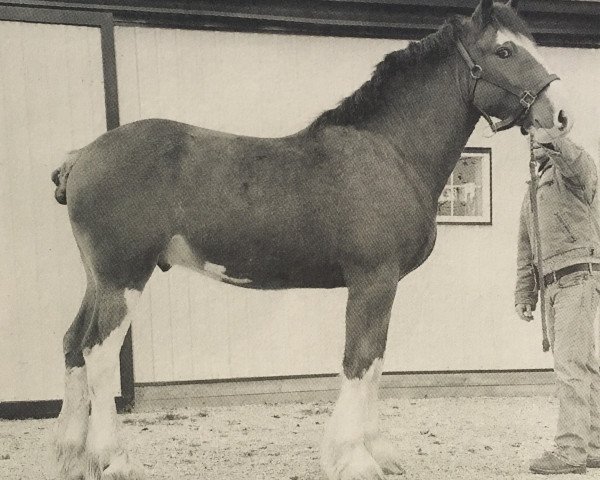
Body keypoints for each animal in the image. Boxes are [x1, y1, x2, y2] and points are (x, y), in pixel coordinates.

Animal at [50, 1, 568, 478]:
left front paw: (379, 453)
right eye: (504, 50)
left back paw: (71, 457)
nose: (559, 116)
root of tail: (82, 156)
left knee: (74, 345)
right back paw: (114, 460)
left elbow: (376, 361)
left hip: (98, 281)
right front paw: (355, 459)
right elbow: (359, 360)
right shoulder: (373, 281)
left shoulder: (384, 286)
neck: (390, 150)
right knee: (98, 354)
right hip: (123, 278)